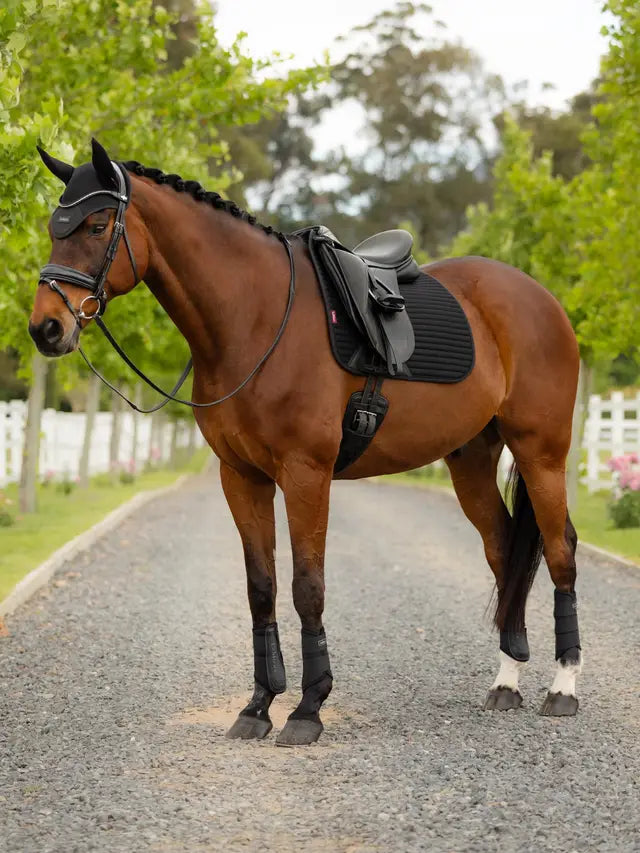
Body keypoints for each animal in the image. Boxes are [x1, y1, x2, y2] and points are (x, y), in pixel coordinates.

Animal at [29, 139, 582, 745]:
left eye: (97, 225)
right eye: (54, 228)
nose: (46, 328)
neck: (256, 318)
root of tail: (539, 297)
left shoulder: (305, 473)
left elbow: (307, 586)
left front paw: (307, 709)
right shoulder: (241, 476)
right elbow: (262, 588)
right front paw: (257, 706)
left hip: (541, 452)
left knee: (560, 550)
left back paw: (563, 688)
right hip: (472, 460)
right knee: (504, 551)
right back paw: (506, 681)